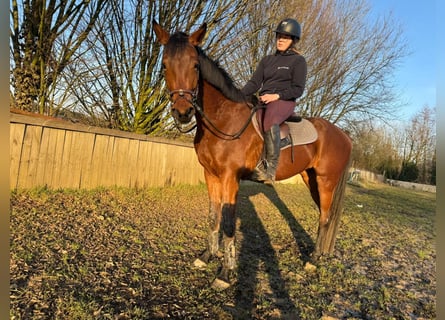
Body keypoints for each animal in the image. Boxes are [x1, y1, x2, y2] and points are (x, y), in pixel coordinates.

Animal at [153, 20, 350, 290]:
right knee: (323, 214)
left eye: (195, 65)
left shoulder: (230, 178)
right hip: (311, 179)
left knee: (325, 217)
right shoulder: (210, 175)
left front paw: (225, 273)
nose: (183, 112)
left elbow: (228, 222)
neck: (224, 119)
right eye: (165, 65)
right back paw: (316, 255)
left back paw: (312, 261)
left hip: (326, 181)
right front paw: (207, 256)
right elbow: (213, 216)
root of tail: (344, 135)